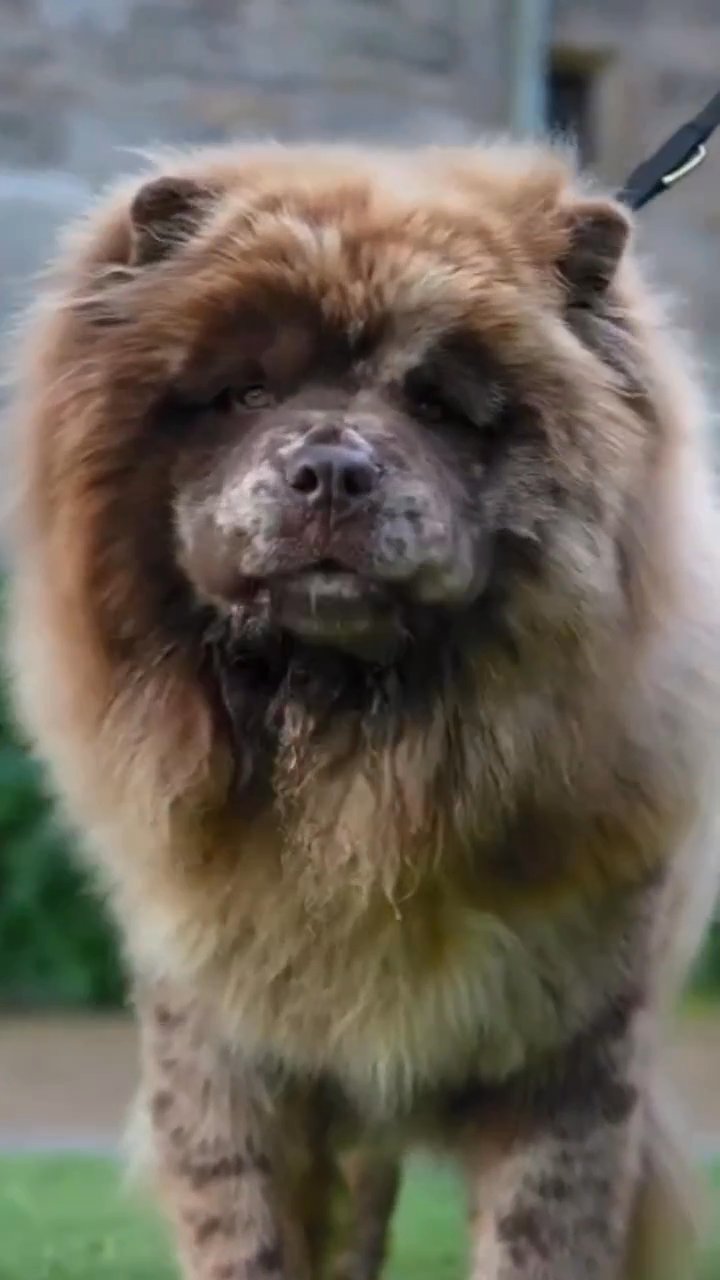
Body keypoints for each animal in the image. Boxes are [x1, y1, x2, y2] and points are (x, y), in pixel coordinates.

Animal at [5, 142, 717, 1280]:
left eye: (439, 406)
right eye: (246, 391)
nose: (331, 468)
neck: (357, 772)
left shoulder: (574, 1053)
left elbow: (538, 1236)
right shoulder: (226, 1054)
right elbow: (247, 1235)